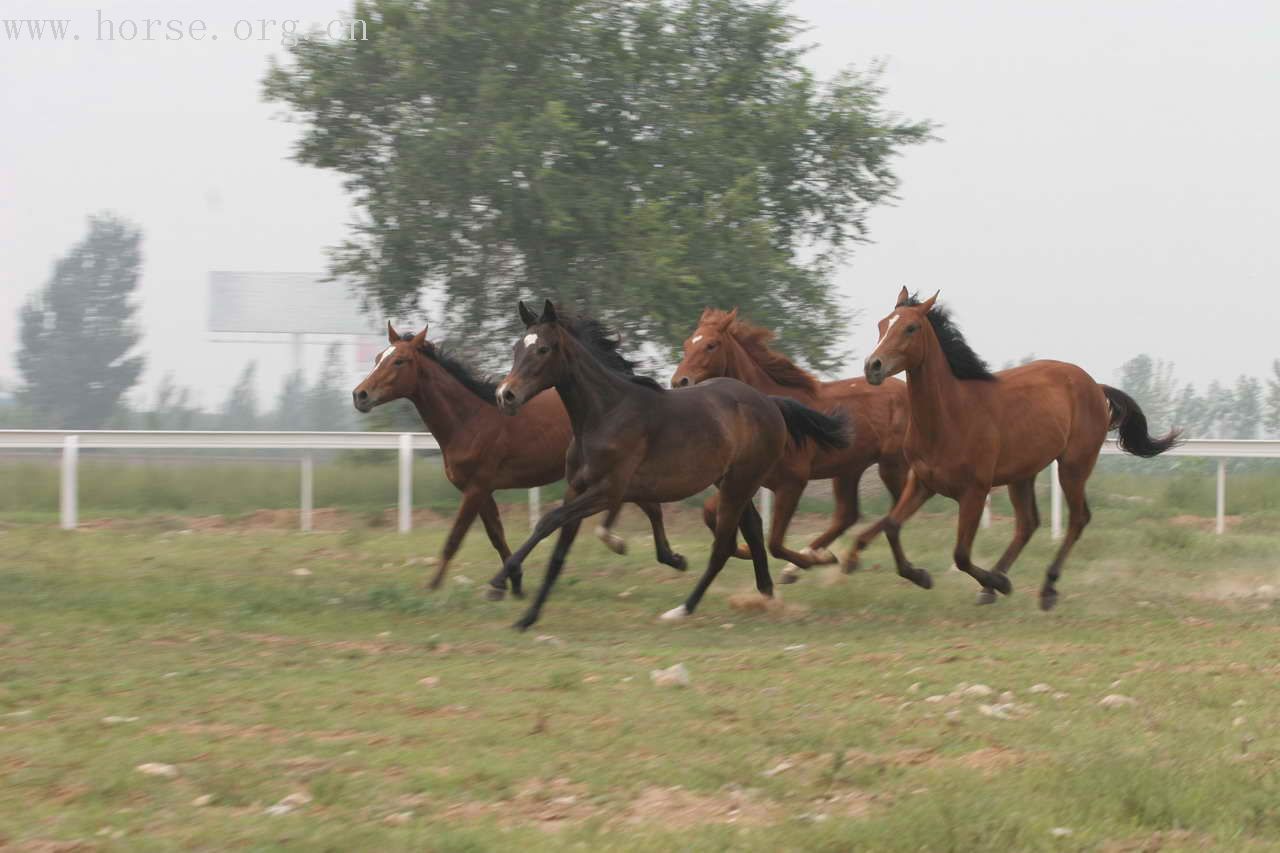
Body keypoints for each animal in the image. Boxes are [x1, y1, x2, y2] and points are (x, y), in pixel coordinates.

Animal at [350, 322, 691, 589]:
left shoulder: (476, 488)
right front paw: (513, 582)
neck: (470, 419)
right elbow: (496, 535)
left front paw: (433, 587)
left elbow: (455, 538)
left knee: (642, 504)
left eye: (400, 361)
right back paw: (664, 555)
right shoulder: (482, 490)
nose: (360, 395)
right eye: (378, 358)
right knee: (647, 505)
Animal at [483, 298, 844, 625]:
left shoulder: (608, 492)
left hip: (741, 481)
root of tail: (768, 401)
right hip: (730, 481)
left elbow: (548, 521)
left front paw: (500, 580)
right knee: (753, 529)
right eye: (516, 348)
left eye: (543, 349)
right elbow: (558, 550)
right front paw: (528, 617)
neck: (606, 414)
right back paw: (767, 595)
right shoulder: (577, 489)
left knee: (723, 546)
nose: (505, 395)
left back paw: (684, 608)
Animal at [670, 308, 911, 581]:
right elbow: (710, 512)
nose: (679, 381)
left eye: (711, 345)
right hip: (849, 468)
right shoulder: (749, 481)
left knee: (899, 507)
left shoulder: (792, 482)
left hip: (892, 465)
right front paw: (743, 549)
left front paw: (811, 561)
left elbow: (774, 543)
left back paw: (835, 558)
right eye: (687, 344)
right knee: (848, 515)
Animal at [860, 289, 1177, 607]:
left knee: (1078, 518)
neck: (949, 417)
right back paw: (995, 584)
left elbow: (961, 555)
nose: (872, 366)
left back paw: (1045, 587)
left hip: (1074, 466)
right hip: (1022, 474)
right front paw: (922, 576)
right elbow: (891, 526)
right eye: (881, 324)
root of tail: (1096, 387)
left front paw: (997, 582)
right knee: (1028, 523)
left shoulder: (975, 491)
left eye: (911, 328)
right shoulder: (922, 483)